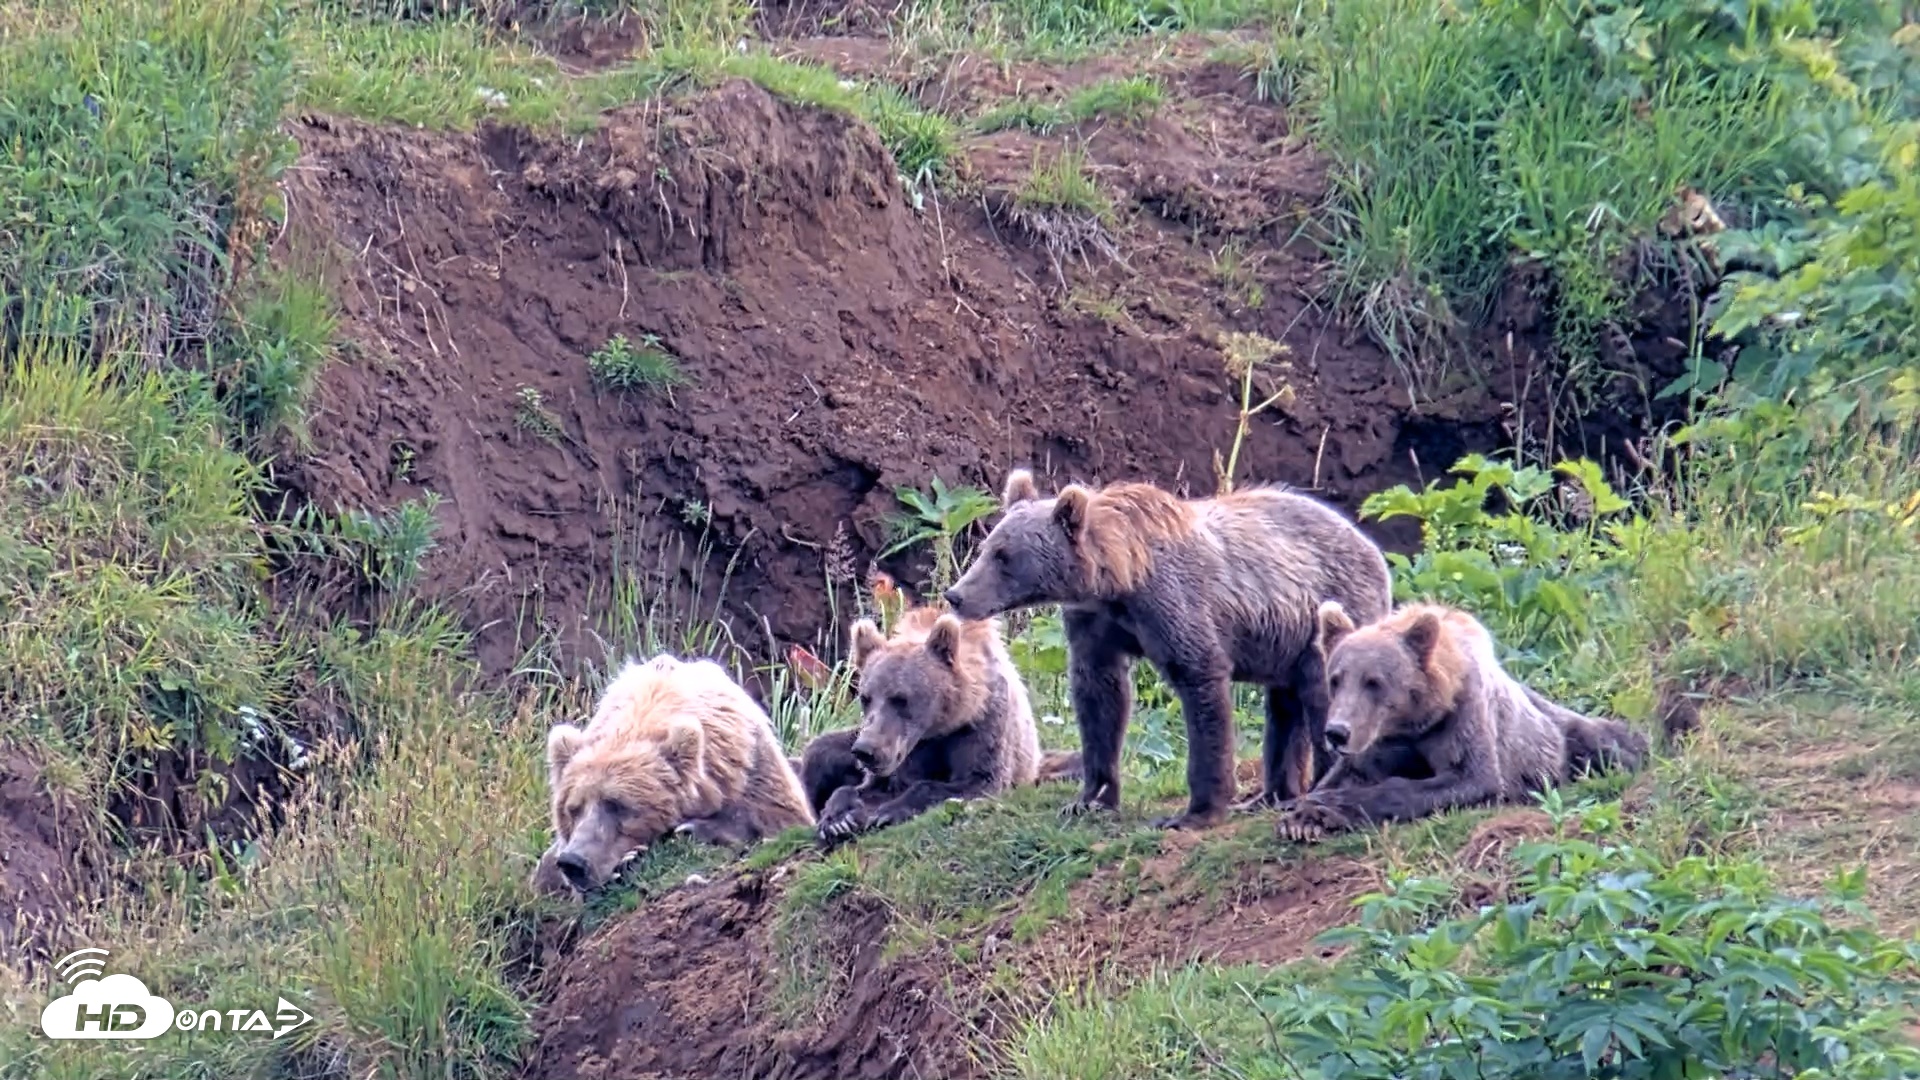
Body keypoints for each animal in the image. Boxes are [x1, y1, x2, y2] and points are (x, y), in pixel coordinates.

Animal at [530, 653, 815, 896]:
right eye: (572, 809)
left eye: (617, 804)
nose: (573, 861)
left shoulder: (751, 765)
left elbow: (777, 816)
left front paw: (691, 828)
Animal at [799, 601, 1042, 842]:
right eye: (865, 698)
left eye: (900, 699)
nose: (865, 750)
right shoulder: (907, 749)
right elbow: (874, 786)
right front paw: (838, 818)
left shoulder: (983, 724)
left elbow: (979, 778)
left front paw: (888, 812)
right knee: (819, 752)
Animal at [942, 468, 1394, 830]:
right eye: (987, 548)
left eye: (1004, 556)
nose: (956, 595)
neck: (1120, 580)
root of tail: (1374, 549)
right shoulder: (1094, 625)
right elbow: (1099, 696)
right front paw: (1090, 799)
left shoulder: (1174, 607)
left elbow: (1199, 682)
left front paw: (1195, 812)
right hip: (1284, 638)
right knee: (1284, 708)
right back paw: (1270, 795)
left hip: (1330, 609)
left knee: (1320, 694)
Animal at [1272, 600, 1650, 842]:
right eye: (1336, 679)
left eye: (1374, 682)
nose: (1337, 732)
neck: (1416, 718)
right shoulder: (1381, 742)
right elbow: (1347, 773)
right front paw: (1300, 813)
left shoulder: (1461, 716)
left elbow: (1471, 777)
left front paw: (1326, 809)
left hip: (1563, 735)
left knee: (1606, 743)